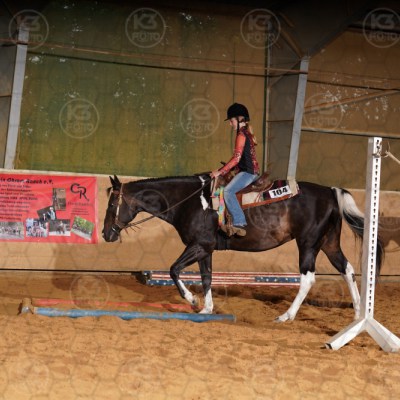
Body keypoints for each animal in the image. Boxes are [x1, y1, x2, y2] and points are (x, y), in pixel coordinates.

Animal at [102, 174, 384, 322]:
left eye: (112, 204)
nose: (106, 233)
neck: (191, 201)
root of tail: (330, 191)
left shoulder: (199, 245)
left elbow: (173, 270)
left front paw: (192, 300)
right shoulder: (206, 249)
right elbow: (206, 277)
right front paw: (207, 308)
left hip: (308, 244)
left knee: (308, 279)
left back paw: (286, 315)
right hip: (328, 243)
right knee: (347, 270)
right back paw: (358, 314)